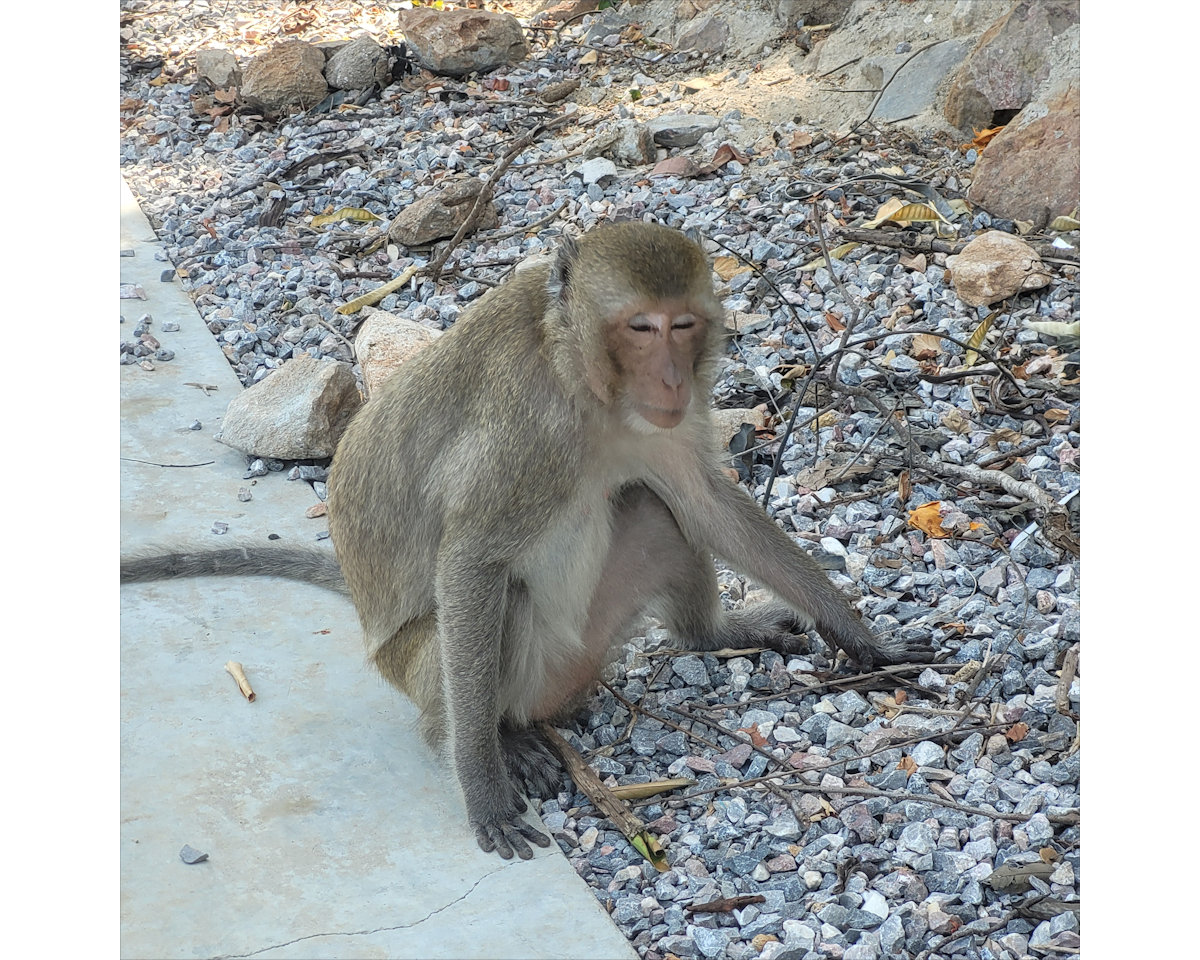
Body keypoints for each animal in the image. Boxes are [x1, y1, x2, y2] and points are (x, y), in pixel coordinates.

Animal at [122, 222, 931, 861]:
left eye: (684, 326)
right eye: (641, 328)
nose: (673, 381)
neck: (585, 382)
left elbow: (702, 505)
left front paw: (860, 637)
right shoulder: (526, 433)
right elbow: (471, 561)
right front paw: (483, 788)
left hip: (589, 644)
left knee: (651, 510)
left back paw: (714, 633)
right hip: (444, 669)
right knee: (495, 605)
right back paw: (498, 738)